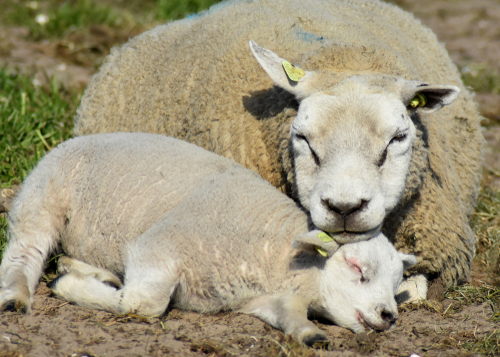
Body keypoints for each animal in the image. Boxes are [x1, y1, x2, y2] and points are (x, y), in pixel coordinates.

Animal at [0, 132, 414, 344]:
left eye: (397, 285)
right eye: (357, 268)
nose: (389, 316)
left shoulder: (260, 299)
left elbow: (287, 313)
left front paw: (310, 335)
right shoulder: (159, 246)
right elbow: (143, 304)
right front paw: (70, 289)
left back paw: (90, 271)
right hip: (42, 197)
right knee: (24, 252)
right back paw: (19, 295)